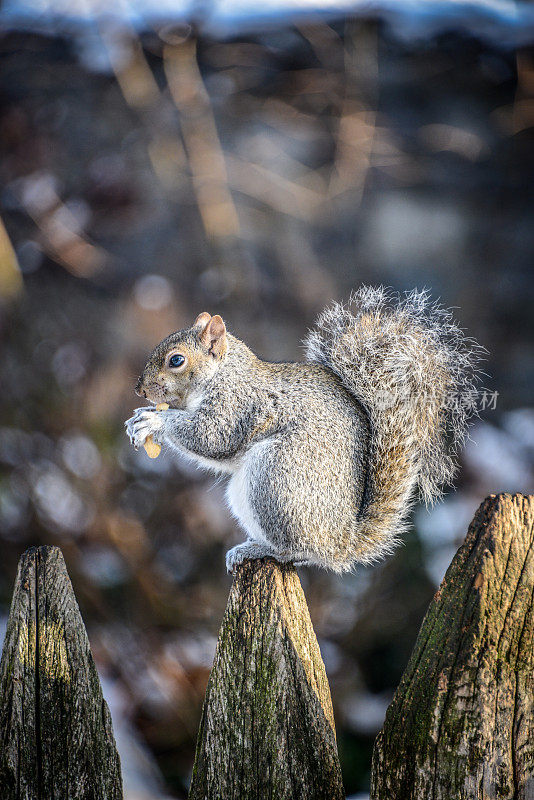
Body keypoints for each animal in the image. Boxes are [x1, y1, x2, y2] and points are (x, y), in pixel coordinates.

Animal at [126, 288, 486, 576]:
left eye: (176, 360)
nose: (140, 391)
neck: (223, 373)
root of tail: (342, 543)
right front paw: (140, 419)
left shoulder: (237, 405)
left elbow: (212, 437)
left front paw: (156, 422)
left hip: (276, 476)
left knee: (296, 549)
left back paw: (260, 549)